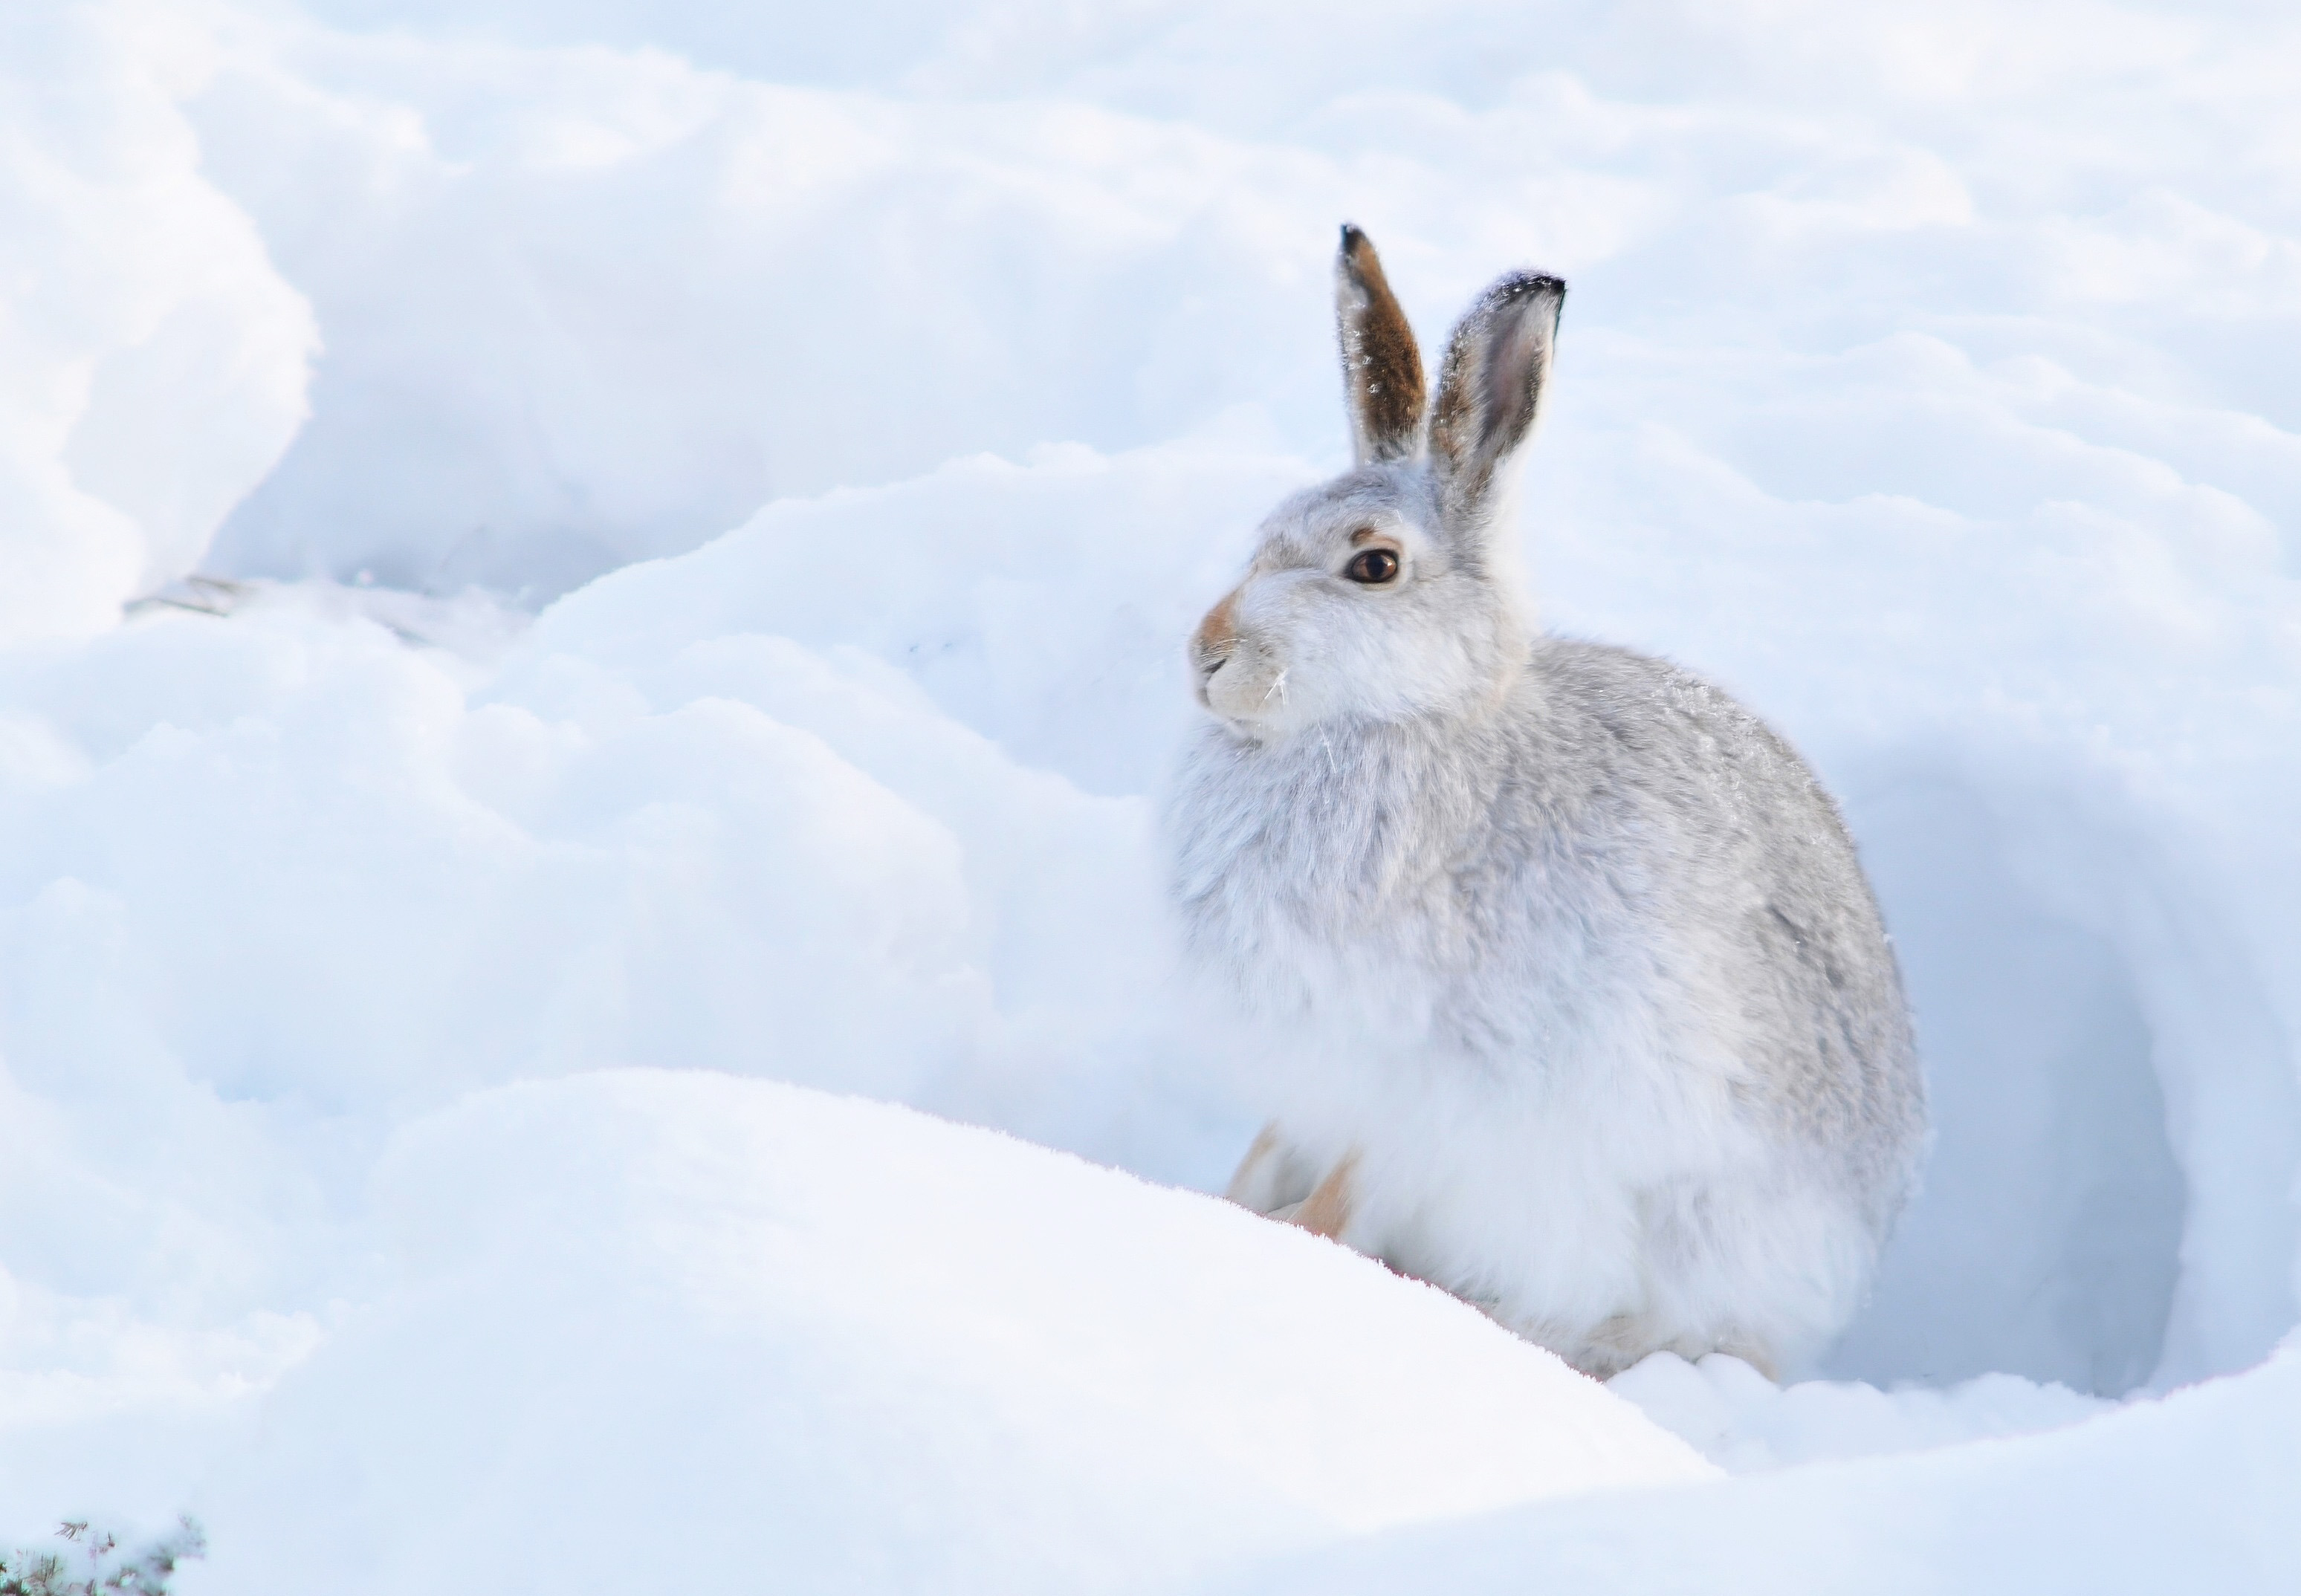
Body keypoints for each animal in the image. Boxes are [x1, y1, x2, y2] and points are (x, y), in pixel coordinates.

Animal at [1166, 224, 1927, 1379]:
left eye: (1373, 565)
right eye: (1266, 537)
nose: (1206, 655)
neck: (1412, 722)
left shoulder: (1419, 1089)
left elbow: (1345, 1195)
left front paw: (1287, 1249)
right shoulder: (1311, 1087)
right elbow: (1267, 1158)